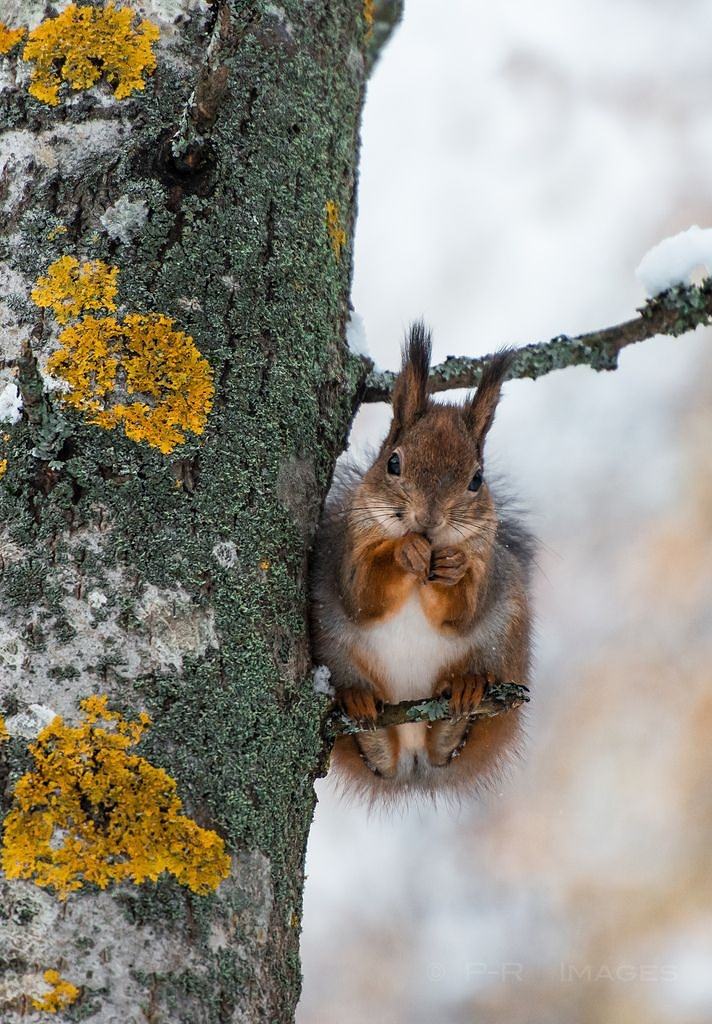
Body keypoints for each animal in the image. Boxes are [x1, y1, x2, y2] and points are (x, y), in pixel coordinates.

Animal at [311, 319, 532, 798]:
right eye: (392, 463)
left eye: (476, 480)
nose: (427, 520)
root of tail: (412, 759)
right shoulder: (348, 556)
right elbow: (363, 596)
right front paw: (403, 550)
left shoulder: (486, 567)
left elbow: (462, 613)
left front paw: (454, 568)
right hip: (334, 650)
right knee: (376, 753)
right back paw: (360, 707)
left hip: (502, 644)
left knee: (450, 744)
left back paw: (464, 698)